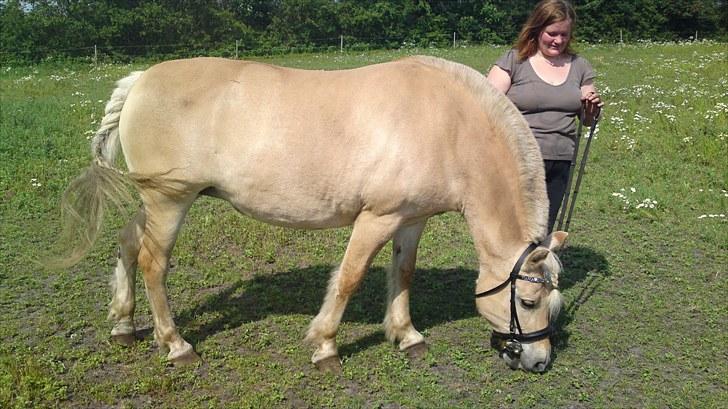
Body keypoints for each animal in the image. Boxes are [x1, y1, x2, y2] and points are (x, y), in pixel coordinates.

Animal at [55, 55, 568, 372]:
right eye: (528, 301)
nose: (539, 361)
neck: (447, 123)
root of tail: (139, 80)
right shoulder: (377, 218)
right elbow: (349, 277)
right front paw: (325, 346)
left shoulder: (411, 218)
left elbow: (403, 273)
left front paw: (407, 335)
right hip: (169, 201)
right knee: (153, 264)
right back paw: (176, 345)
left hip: (157, 202)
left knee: (127, 243)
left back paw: (124, 324)